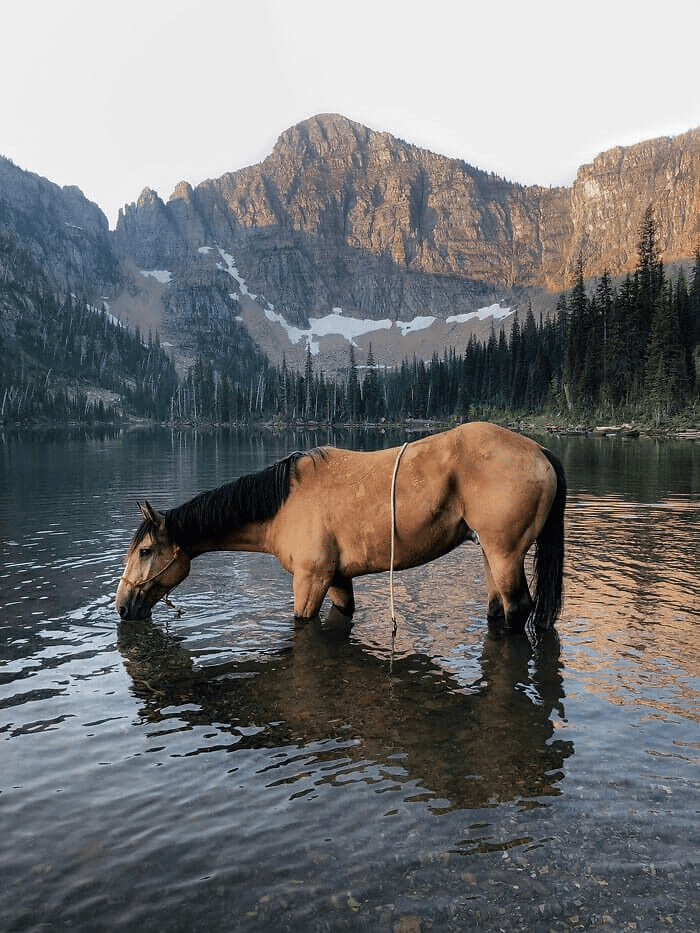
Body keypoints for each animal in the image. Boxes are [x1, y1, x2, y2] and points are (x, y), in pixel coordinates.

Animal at [113, 424, 564, 628]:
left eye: (146, 551)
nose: (121, 607)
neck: (283, 505)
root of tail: (538, 449)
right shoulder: (337, 579)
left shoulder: (310, 580)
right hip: (490, 552)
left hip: (505, 554)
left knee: (518, 609)